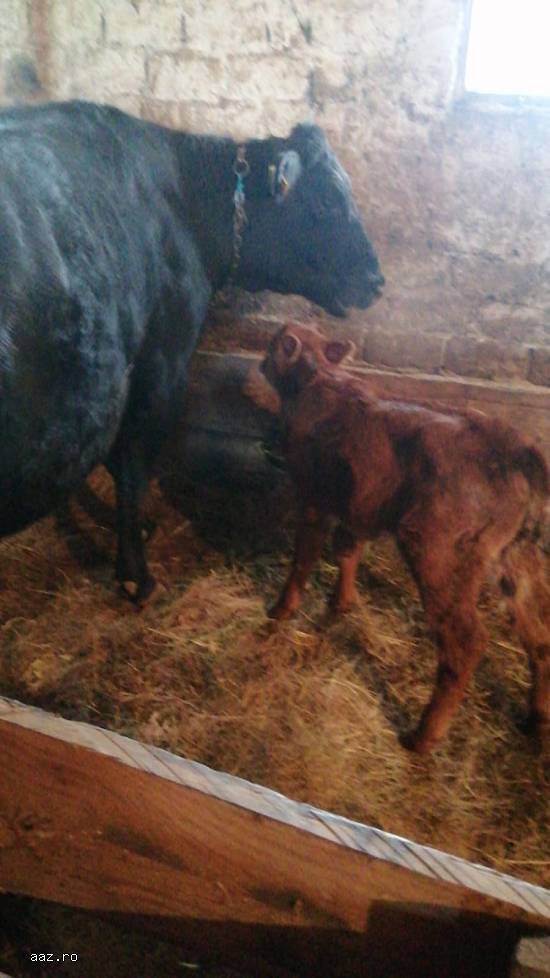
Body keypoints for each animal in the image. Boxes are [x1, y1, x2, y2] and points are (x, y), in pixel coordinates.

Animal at [0, 99, 383, 603]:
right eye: (326, 201)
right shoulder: (164, 360)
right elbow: (133, 465)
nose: (377, 280)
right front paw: (136, 574)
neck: (184, 204)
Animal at [246, 323, 550, 753]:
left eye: (274, 345)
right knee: (540, 635)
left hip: (438, 552)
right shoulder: (359, 503)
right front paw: (341, 604)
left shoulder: (313, 497)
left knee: (467, 642)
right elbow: (348, 550)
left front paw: (280, 610)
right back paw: (538, 719)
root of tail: (513, 444)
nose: (260, 362)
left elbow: (303, 558)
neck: (318, 381)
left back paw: (423, 737)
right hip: (517, 556)